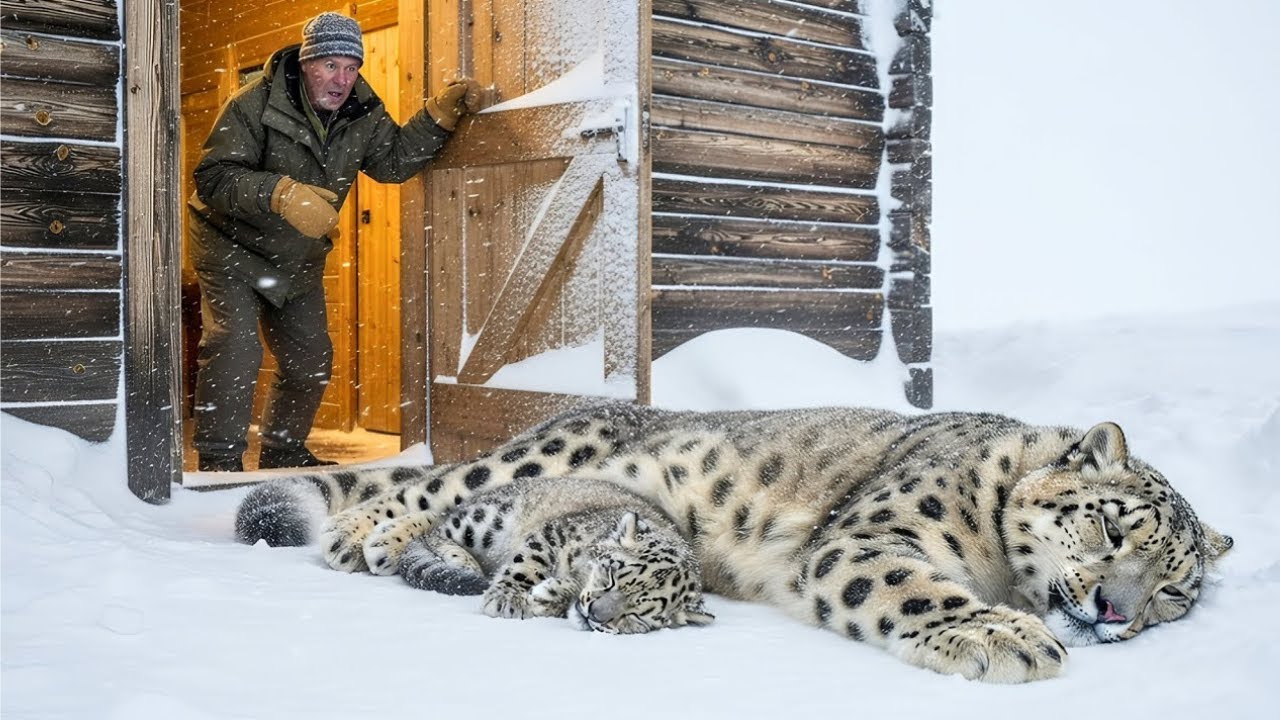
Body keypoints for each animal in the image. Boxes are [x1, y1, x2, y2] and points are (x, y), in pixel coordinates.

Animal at [397, 476, 714, 633]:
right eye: (612, 574)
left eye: (637, 616)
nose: (595, 615)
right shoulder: (554, 533)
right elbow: (527, 564)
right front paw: (506, 599)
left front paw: (550, 596)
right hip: (483, 521)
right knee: (432, 533)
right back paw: (464, 561)